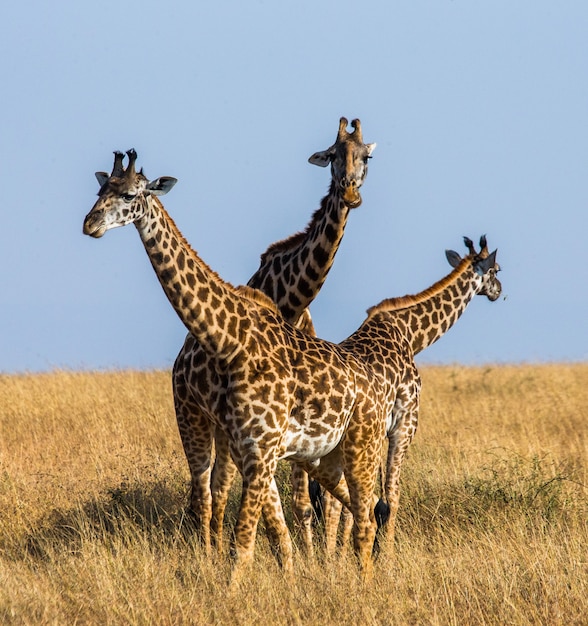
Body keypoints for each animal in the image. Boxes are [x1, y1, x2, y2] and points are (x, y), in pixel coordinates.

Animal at [308, 234, 500, 552]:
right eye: (496, 269)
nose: (498, 291)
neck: (410, 335)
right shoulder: (405, 422)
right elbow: (391, 493)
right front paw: (386, 552)